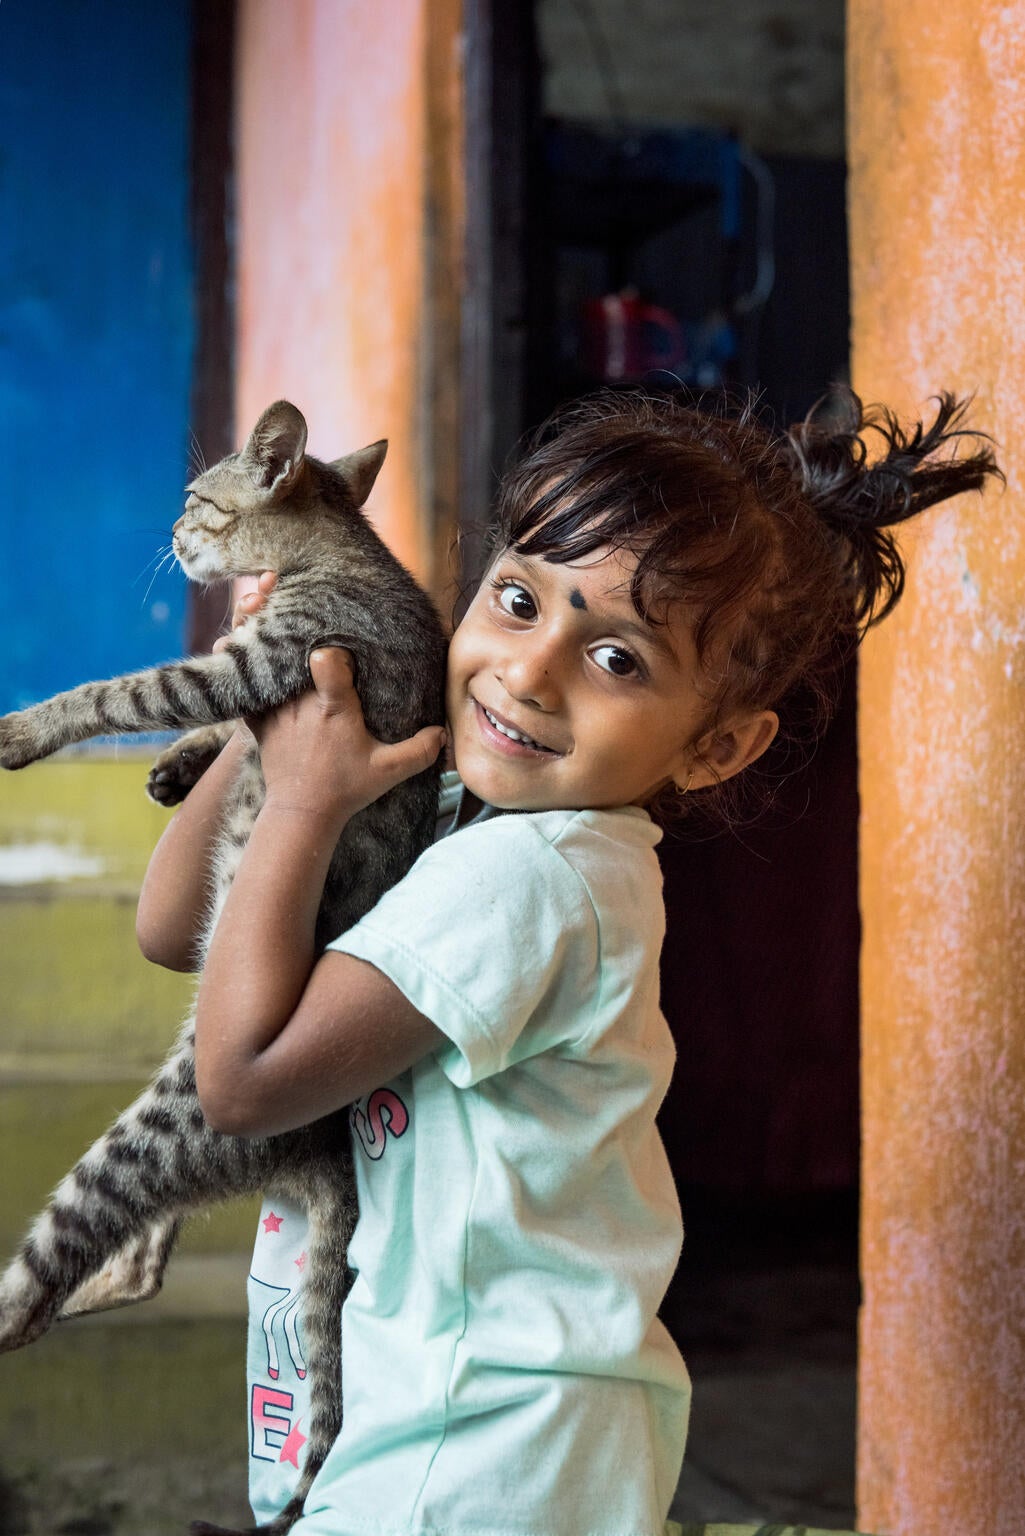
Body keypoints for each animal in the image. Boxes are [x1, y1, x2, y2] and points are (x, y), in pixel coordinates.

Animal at [0, 399, 448, 1536]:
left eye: (198, 498)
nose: (171, 530)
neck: (337, 550)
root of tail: (323, 1153)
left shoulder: (254, 661)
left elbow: (119, 689)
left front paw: (22, 729)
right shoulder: (244, 680)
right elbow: (201, 725)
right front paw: (180, 765)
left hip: (169, 1118)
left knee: (37, 1285)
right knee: (128, 1255)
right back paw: (112, 1284)